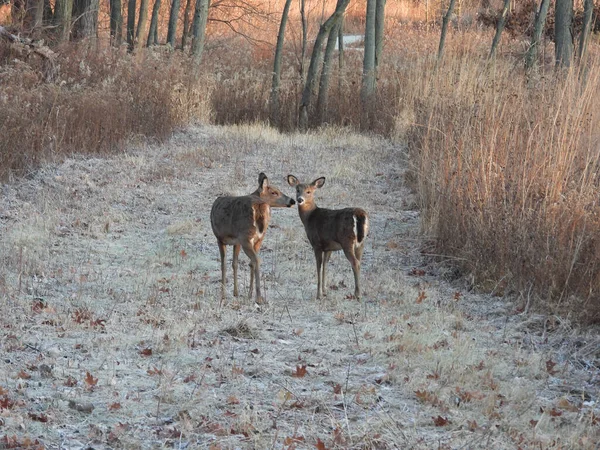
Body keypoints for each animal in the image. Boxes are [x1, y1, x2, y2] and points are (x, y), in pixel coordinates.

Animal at [211, 174, 296, 304]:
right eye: (274, 192)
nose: (292, 201)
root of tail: (260, 205)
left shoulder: (220, 238)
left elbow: (224, 265)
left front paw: (223, 295)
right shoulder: (236, 242)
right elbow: (234, 264)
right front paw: (236, 293)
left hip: (245, 236)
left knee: (256, 260)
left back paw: (258, 296)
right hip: (258, 238)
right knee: (253, 261)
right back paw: (252, 294)